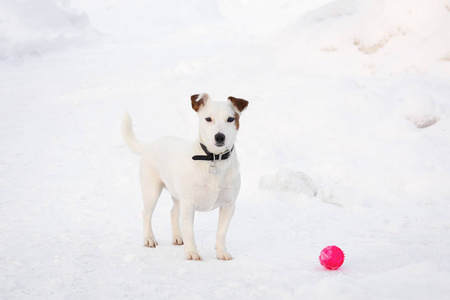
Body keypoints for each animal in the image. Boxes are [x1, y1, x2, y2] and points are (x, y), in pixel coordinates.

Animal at [122, 94, 250, 260]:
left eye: (230, 119)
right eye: (208, 119)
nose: (220, 137)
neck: (213, 158)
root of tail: (151, 144)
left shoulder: (228, 206)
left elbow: (221, 232)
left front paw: (222, 252)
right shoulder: (189, 205)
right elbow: (189, 231)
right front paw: (192, 252)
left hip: (177, 195)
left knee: (173, 212)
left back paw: (177, 236)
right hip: (151, 190)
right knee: (146, 214)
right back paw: (149, 238)